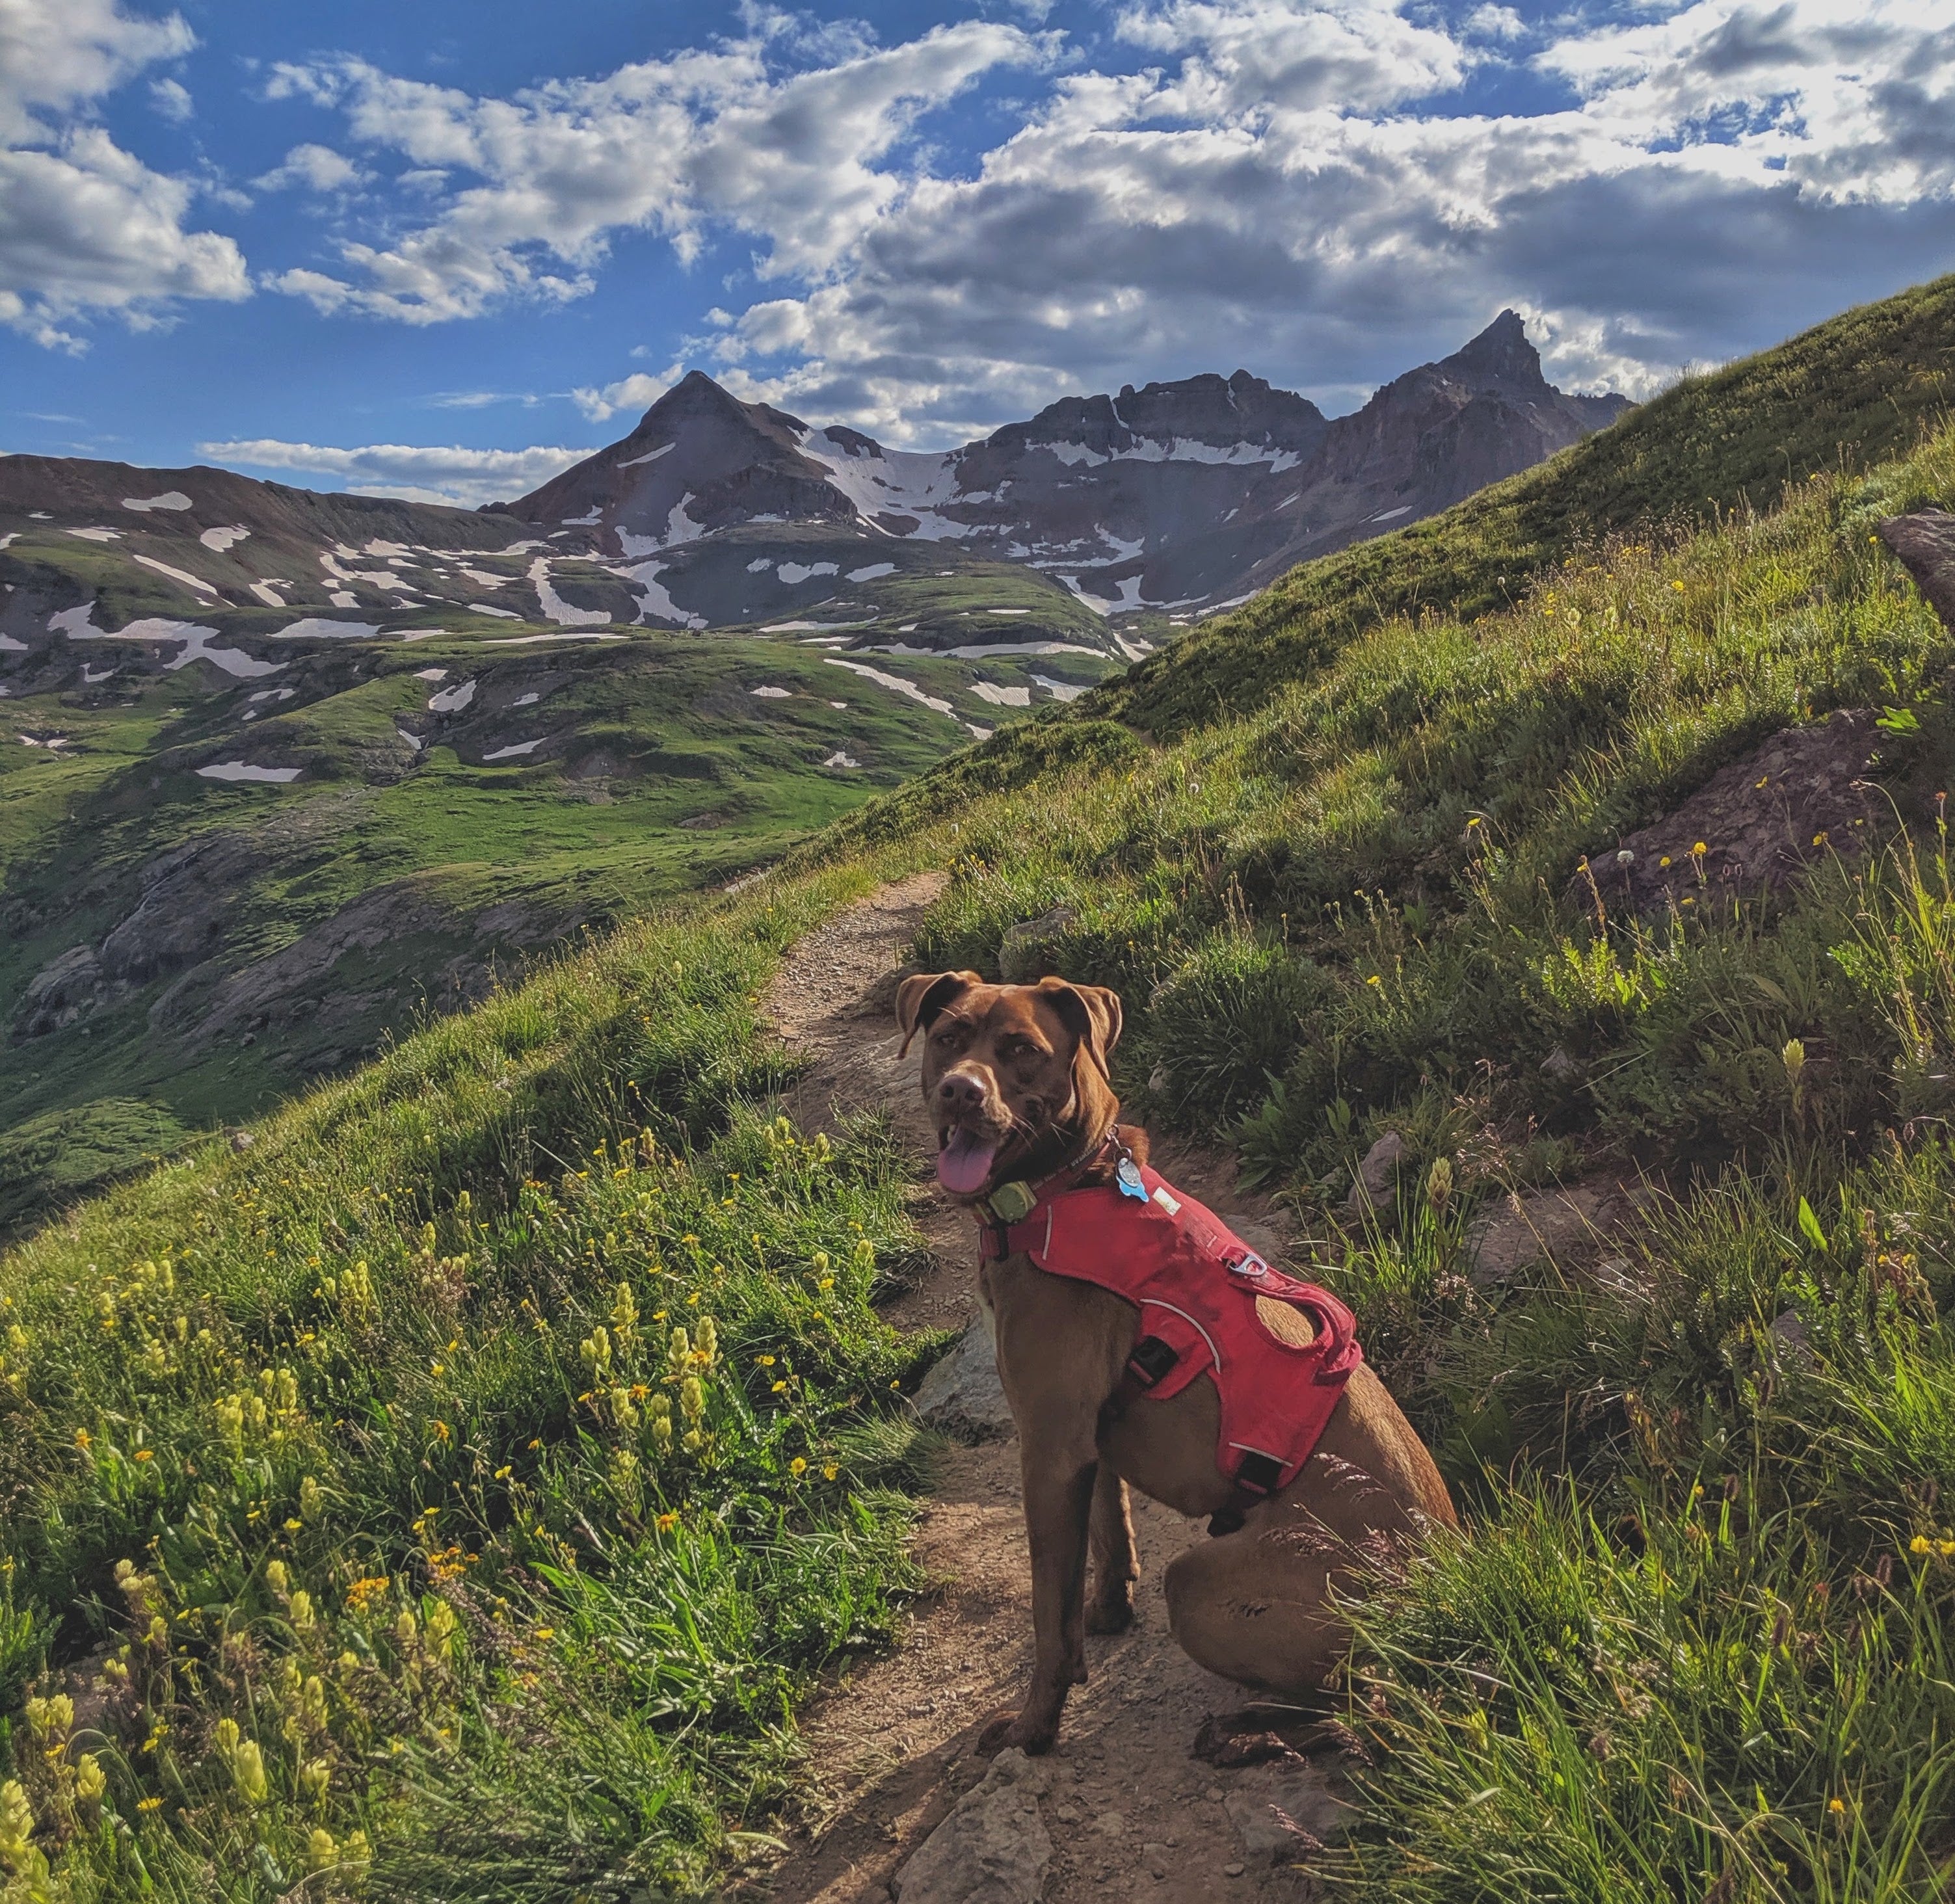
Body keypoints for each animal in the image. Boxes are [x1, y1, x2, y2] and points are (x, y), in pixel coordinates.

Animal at [895, 977, 1454, 1767]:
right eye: (949, 1037)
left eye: (1022, 1051)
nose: (960, 1091)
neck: (1067, 1185)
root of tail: (1450, 1578)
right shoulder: (1085, 1441)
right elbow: (1108, 1536)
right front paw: (1106, 1612)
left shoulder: (1049, 1447)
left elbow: (1047, 1616)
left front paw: (1036, 1726)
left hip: (1203, 1585)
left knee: (1371, 1703)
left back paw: (1252, 1734)